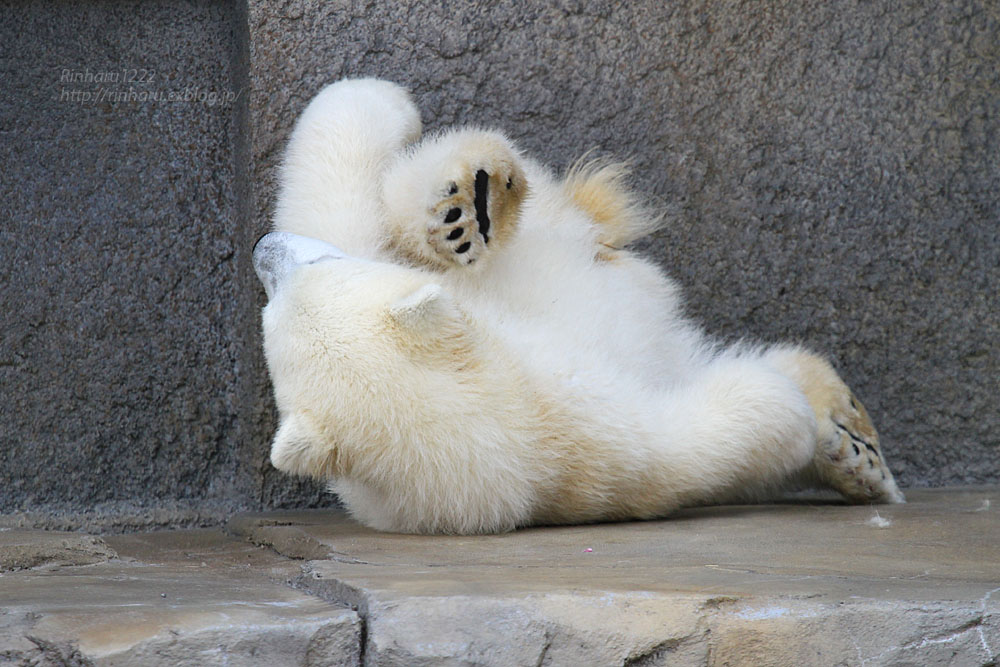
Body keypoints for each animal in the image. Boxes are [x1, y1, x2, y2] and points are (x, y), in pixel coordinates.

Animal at [252, 79, 908, 536]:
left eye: (315, 268)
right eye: (275, 305)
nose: (263, 248)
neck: (509, 365)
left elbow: (331, 186)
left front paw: (383, 103)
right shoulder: (593, 442)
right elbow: (700, 438)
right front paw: (785, 410)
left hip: (553, 239)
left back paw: (469, 200)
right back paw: (851, 451)